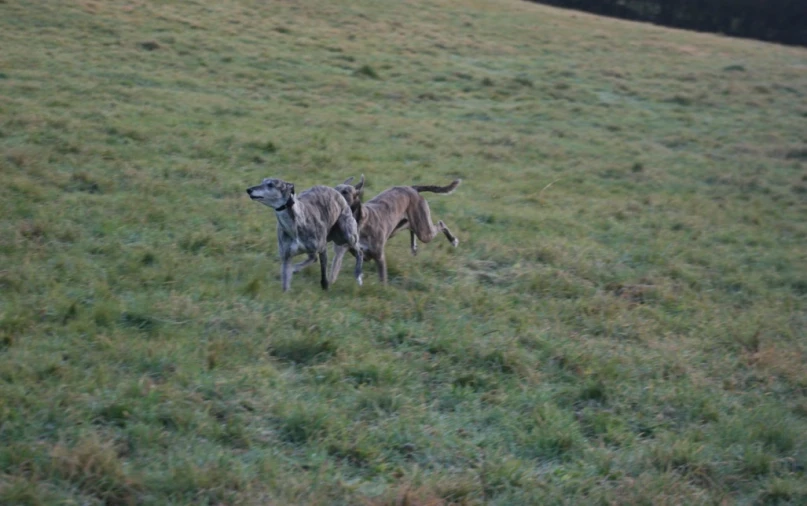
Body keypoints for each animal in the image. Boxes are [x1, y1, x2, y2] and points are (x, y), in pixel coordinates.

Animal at [330, 175, 458, 284]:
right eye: (335, 188)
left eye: (345, 192)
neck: (359, 222)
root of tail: (412, 188)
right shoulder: (340, 252)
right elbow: (333, 273)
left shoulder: (379, 256)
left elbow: (382, 280)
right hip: (402, 226)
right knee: (411, 228)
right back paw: (414, 247)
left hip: (424, 232)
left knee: (440, 224)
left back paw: (453, 240)